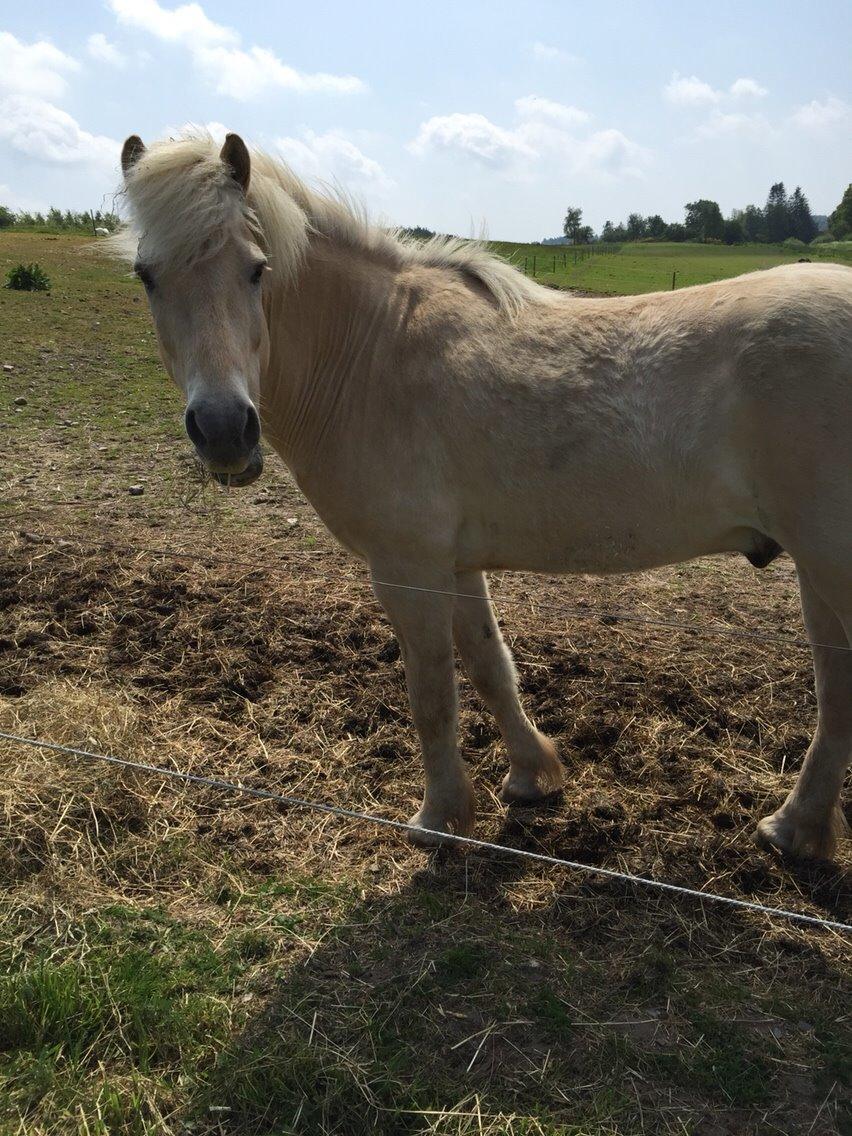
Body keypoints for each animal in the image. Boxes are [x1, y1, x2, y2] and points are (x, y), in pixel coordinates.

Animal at [115, 132, 852, 854]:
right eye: (147, 276)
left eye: (256, 269)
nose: (223, 430)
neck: (370, 355)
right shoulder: (457, 564)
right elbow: (491, 668)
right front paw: (532, 775)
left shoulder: (408, 570)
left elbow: (432, 692)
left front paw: (439, 818)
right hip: (818, 573)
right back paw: (797, 827)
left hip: (829, 564)